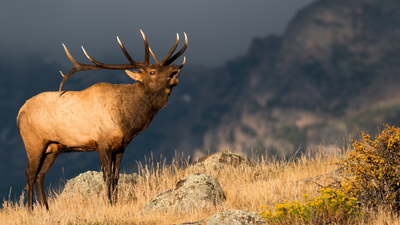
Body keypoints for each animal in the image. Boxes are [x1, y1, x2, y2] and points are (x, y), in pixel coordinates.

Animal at [16, 29, 188, 209]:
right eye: (152, 72)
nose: (175, 67)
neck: (126, 121)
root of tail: (19, 113)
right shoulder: (102, 142)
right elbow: (107, 175)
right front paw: (108, 202)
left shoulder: (120, 146)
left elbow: (116, 175)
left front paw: (115, 202)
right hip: (33, 142)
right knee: (30, 173)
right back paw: (30, 209)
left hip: (53, 147)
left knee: (40, 175)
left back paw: (46, 209)